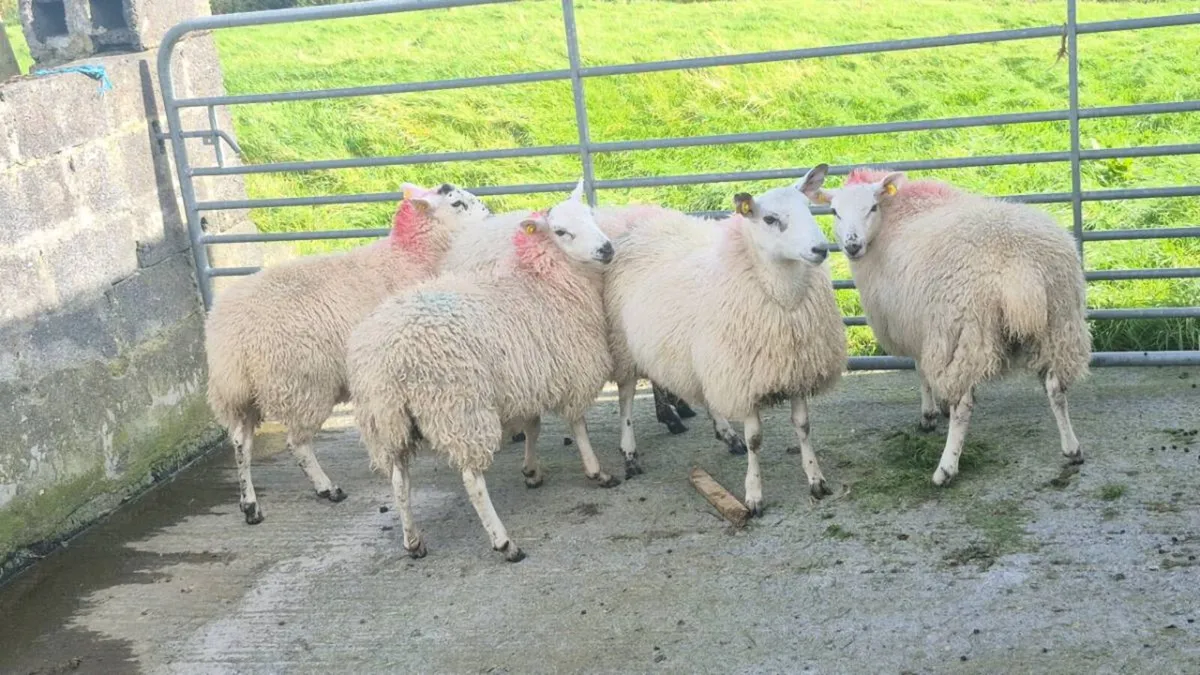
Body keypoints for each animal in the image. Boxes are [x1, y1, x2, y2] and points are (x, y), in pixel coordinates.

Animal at [204, 183, 490, 525]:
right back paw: (326, 488)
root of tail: (229, 340)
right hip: (301, 385)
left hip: (242, 394)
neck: (407, 256)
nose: (490, 213)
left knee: (240, 443)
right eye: (457, 203)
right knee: (297, 443)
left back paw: (250, 505)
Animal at [347, 182, 618, 562]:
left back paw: (413, 540)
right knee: (472, 480)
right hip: (459, 408)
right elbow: (577, 424)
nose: (606, 249)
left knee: (399, 480)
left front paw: (531, 471)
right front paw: (595, 471)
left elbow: (533, 426)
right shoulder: (567, 368)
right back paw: (504, 541)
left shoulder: (525, 378)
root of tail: (389, 357)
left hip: (387, 420)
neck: (543, 279)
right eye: (562, 231)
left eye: (591, 216)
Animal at [602, 165, 848, 513]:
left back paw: (711, 429)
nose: (821, 250)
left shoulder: (795, 367)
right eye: (769, 219)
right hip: (624, 341)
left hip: (678, 348)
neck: (782, 297)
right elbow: (756, 439)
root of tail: (630, 218)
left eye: (808, 208)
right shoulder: (743, 377)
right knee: (625, 397)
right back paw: (630, 453)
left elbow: (802, 426)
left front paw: (816, 479)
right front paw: (754, 494)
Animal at [815, 168, 1090, 486]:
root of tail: (1020, 267)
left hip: (966, 330)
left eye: (871, 207)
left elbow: (921, 371)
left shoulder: (921, 328)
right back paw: (1072, 449)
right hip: (1060, 323)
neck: (894, 216)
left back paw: (945, 468)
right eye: (834, 211)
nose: (852, 245)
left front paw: (930, 414)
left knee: (965, 405)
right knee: (1055, 387)